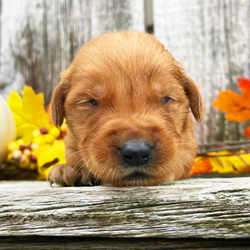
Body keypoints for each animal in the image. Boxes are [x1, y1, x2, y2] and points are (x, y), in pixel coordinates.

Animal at [47, 30, 203, 187]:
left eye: (166, 99)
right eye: (91, 101)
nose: (136, 152)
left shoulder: (188, 143)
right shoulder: (70, 141)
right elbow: (74, 153)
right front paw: (74, 167)